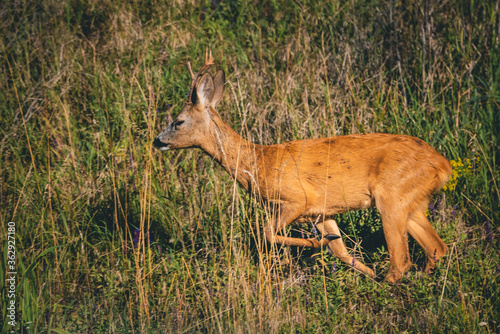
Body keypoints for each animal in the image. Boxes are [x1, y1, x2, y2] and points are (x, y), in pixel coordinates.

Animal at [151, 51, 450, 284]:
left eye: (178, 121)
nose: (157, 141)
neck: (255, 162)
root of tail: (443, 164)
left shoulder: (297, 199)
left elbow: (267, 233)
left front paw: (316, 244)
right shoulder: (322, 211)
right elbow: (341, 251)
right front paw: (361, 268)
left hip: (392, 197)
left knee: (402, 260)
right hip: (412, 202)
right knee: (437, 248)